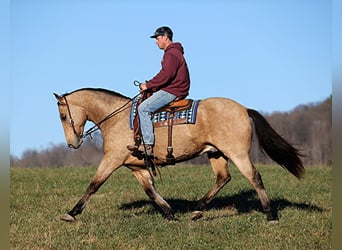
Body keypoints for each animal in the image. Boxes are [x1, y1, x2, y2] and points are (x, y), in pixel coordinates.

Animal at [53, 88, 304, 223]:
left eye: (63, 116)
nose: (72, 143)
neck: (117, 119)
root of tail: (243, 109)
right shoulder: (137, 167)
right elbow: (151, 192)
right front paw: (170, 213)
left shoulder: (111, 160)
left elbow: (93, 185)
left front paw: (71, 213)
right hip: (216, 154)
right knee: (223, 178)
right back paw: (198, 209)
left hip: (238, 153)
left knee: (254, 177)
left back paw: (270, 215)